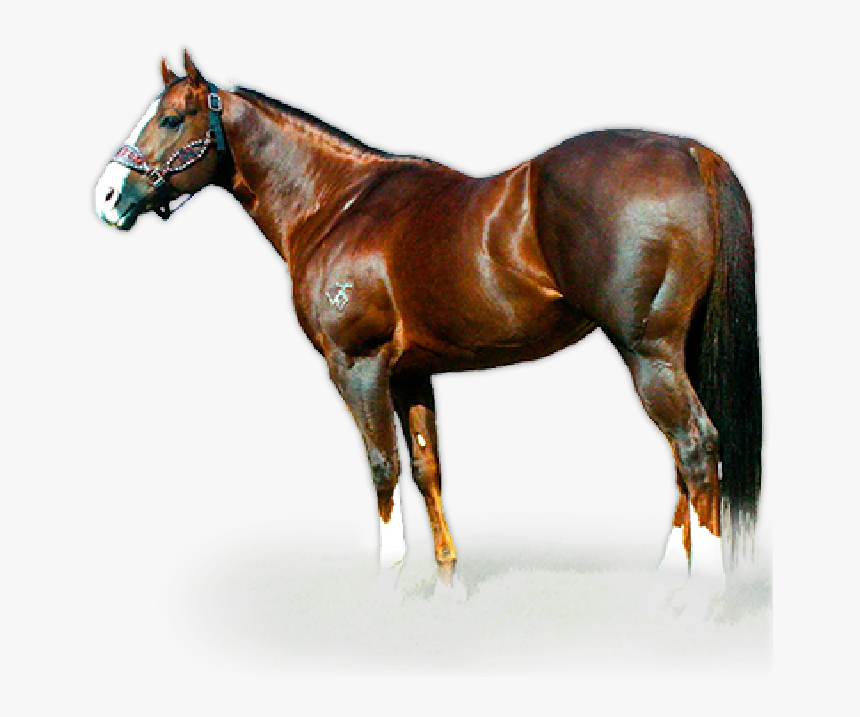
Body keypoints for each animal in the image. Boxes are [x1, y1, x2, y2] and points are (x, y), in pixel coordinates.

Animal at [95, 52, 761, 615]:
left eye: (171, 118)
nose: (108, 195)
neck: (335, 205)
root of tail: (689, 152)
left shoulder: (357, 366)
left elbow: (382, 465)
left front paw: (387, 581)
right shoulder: (412, 374)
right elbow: (425, 468)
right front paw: (447, 581)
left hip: (647, 352)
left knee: (695, 445)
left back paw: (702, 594)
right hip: (673, 352)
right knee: (684, 457)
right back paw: (670, 580)